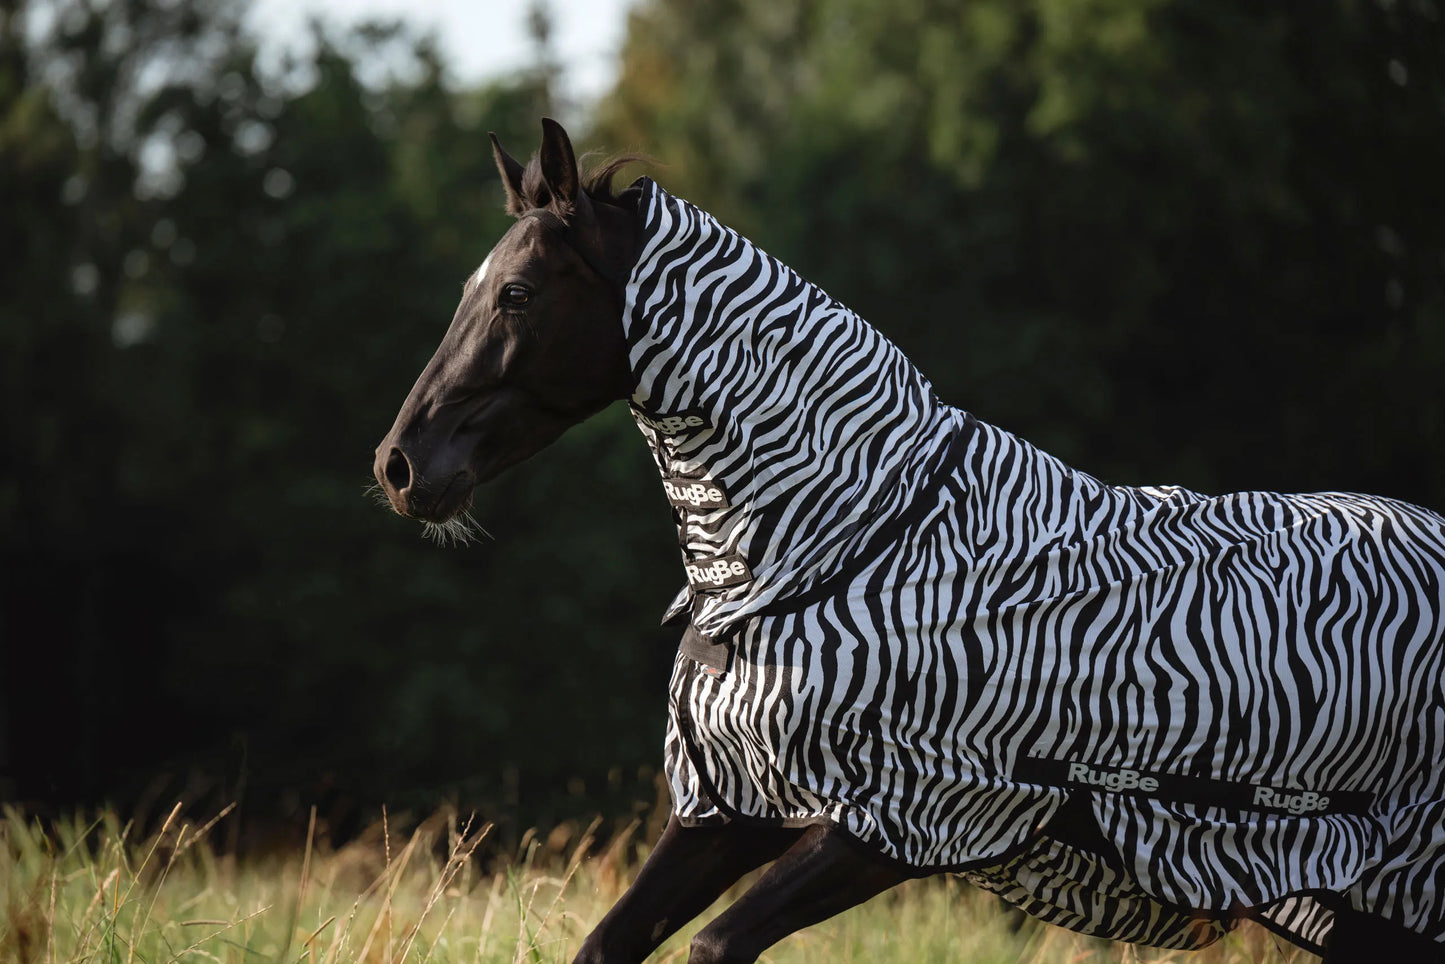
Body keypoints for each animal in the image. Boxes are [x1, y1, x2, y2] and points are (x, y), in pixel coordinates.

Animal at [373, 119, 1445, 963]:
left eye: (516, 293)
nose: (400, 467)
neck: (843, 544)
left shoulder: (908, 819)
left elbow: (716, 946)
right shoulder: (732, 806)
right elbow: (609, 942)